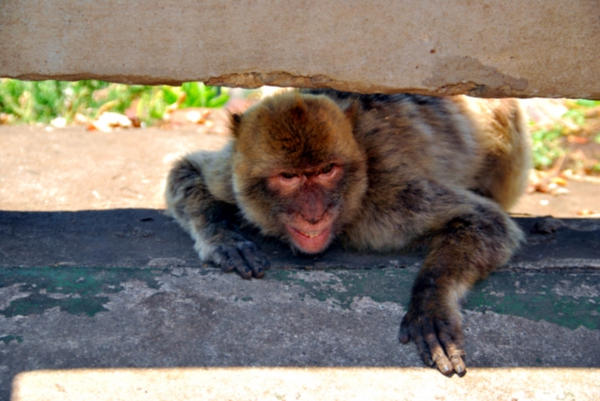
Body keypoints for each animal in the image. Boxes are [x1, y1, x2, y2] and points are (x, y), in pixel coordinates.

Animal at [164, 89, 528, 376]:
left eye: (327, 171)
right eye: (288, 177)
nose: (313, 214)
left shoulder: (390, 198)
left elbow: (485, 221)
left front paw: (431, 304)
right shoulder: (230, 174)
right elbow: (185, 170)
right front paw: (225, 239)